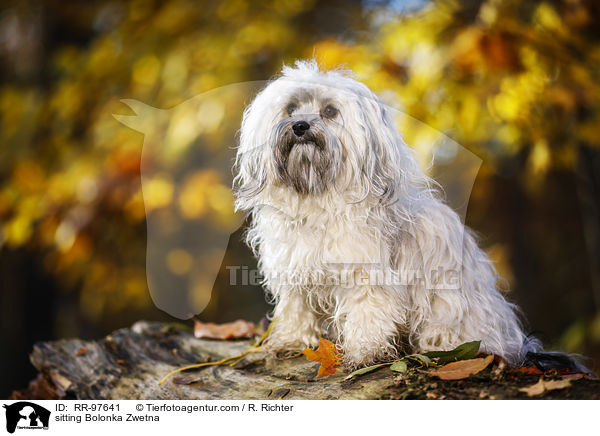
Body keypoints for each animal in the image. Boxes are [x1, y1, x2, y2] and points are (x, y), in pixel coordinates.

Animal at [233, 59, 576, 370]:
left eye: (330, 111)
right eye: (290, 109)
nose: (300, 126)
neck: (319, 199)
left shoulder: (368, 273)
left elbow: (368, 311)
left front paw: (366, 351)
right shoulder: (294, 268)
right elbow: (296, 307)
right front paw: (290, 340)